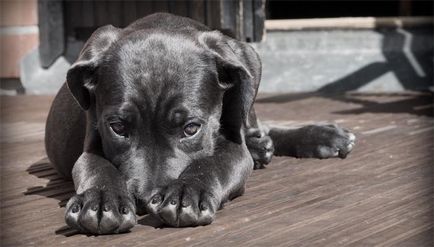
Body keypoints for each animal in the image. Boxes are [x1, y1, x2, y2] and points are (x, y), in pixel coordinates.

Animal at [45, 12, 356, 234]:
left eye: (191, 128)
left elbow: (213, 162)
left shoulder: (233, 147)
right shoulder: (92, 142)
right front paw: (100, 200)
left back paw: (319, 137)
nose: (145, 200)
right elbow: (96, 166)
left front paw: (187, 192)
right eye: (118, 128)